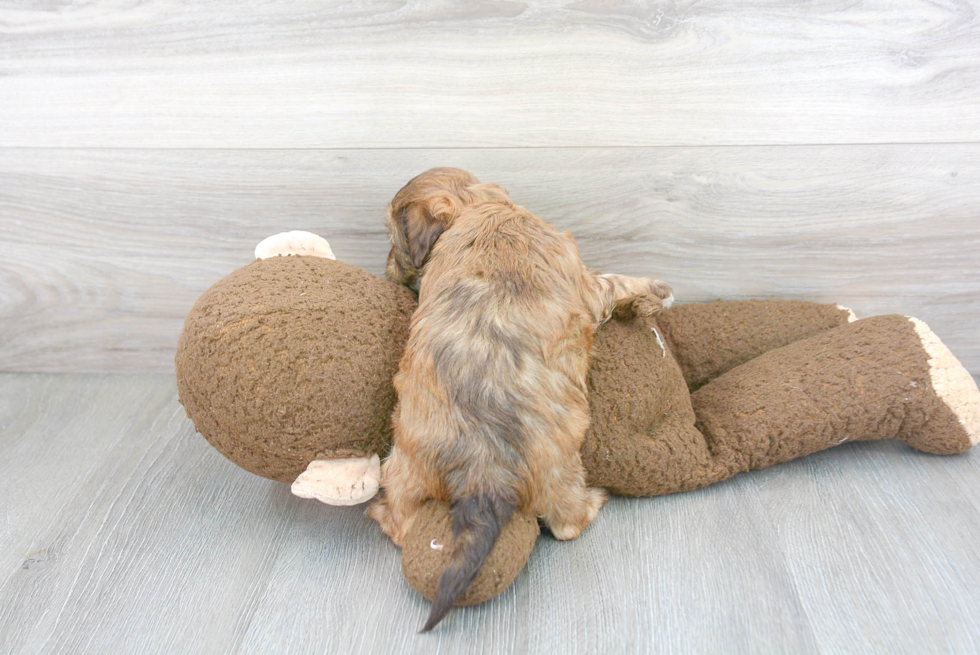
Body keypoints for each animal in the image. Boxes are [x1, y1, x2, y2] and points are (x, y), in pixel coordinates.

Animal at [368, 169, 672, 632]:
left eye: (393, 237)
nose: (386, 269)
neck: (480, 208)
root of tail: (482, 475)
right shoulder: (587, 284)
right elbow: (612, 280)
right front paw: (654, 288)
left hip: (404, 469)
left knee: (402, 523)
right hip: (561, 471)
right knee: (567, 525)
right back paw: (595, 499)